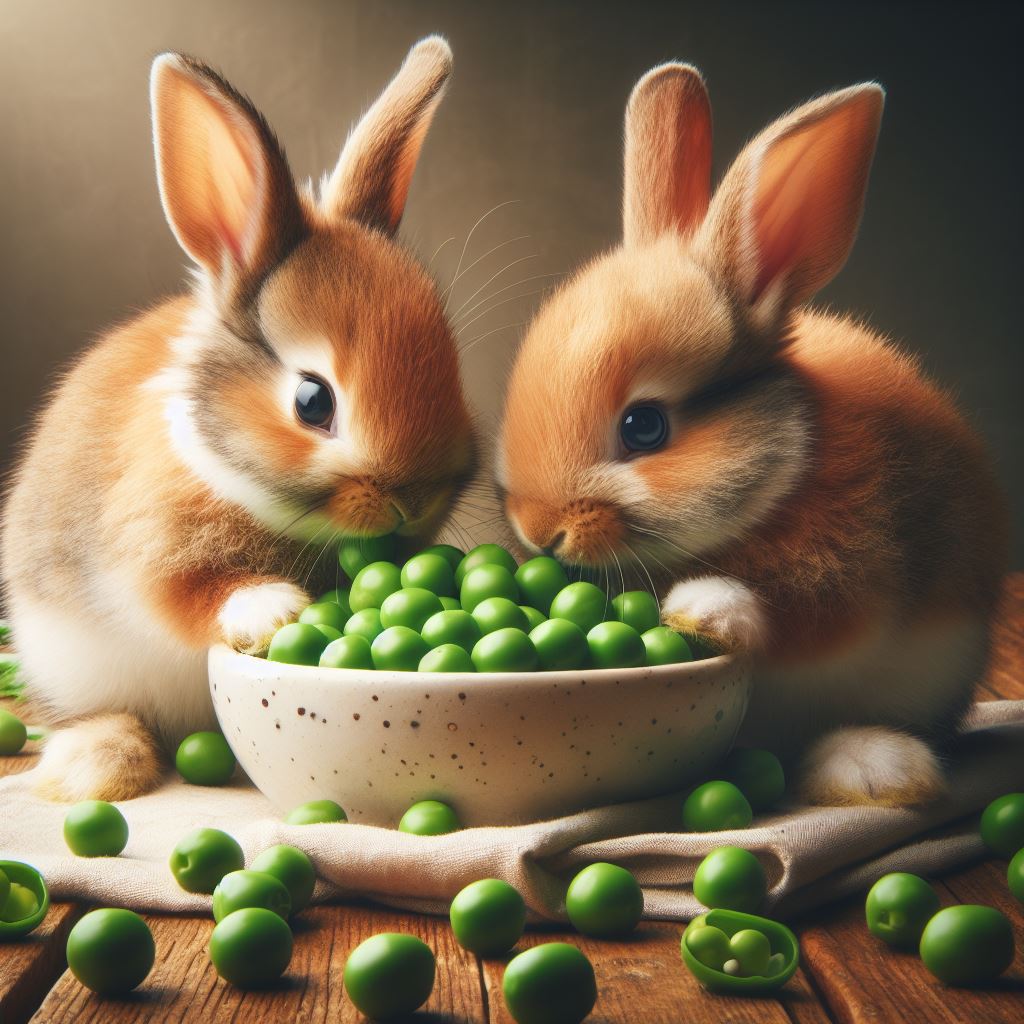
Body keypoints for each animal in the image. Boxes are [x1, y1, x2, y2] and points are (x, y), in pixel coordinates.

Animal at [1, 37, 476, 803]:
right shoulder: (148, 549)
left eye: (453, 367)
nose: (414, 499)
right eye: (314, 402)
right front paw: (276, 610)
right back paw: (94, 768)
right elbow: (188, 595)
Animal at [497, 63, 1007, 808]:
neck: (783, 477)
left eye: (644, 427)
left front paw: (701, 612)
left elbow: (798, 619)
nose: (540, 531)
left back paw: (872, 769)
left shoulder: (850, 577)